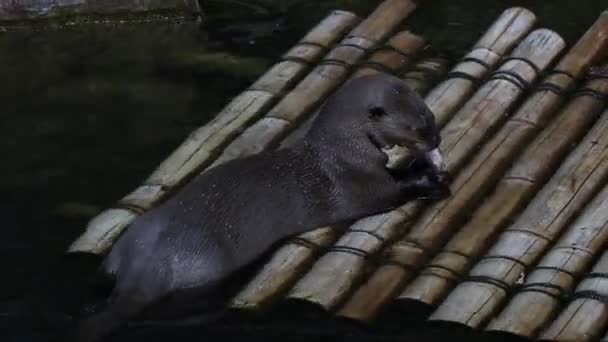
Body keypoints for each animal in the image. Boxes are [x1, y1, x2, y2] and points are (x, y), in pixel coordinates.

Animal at [73, 73, 448, 340]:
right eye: (418, 126)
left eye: (431, 114)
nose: (437, 140)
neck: (342, 155)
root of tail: (143, 269)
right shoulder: (361, 187)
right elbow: (392, 194)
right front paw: (428, 178)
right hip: (204, 263)